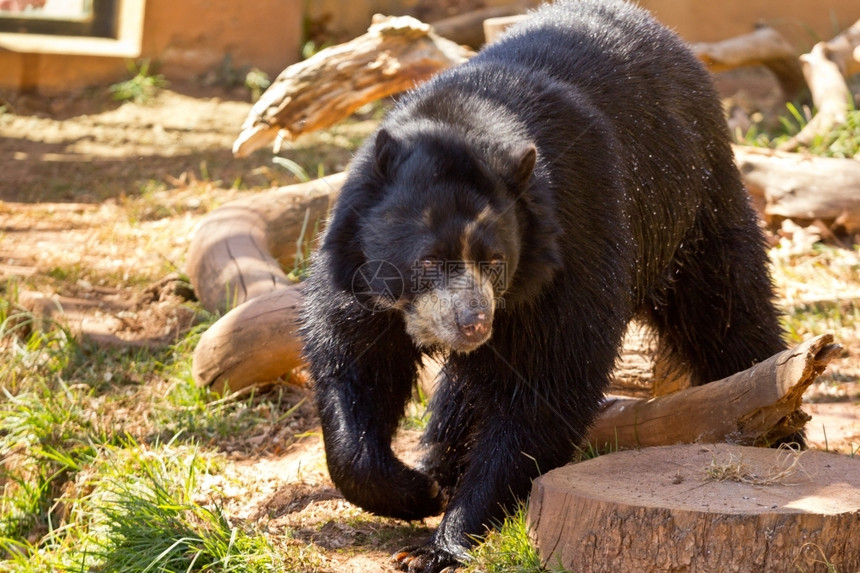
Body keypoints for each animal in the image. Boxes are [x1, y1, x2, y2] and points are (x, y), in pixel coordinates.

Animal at [300, 2, 788, 568]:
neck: (467, 119)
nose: (473, 323)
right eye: (427, 262)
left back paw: (782, 429)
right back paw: (442, 464)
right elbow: (353, 358)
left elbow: (547, 384)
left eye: (495, 262)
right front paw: (417, 490)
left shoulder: (571, 248)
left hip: (695, 204)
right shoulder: (355, 263)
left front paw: (438, 545)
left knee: (727, 311)